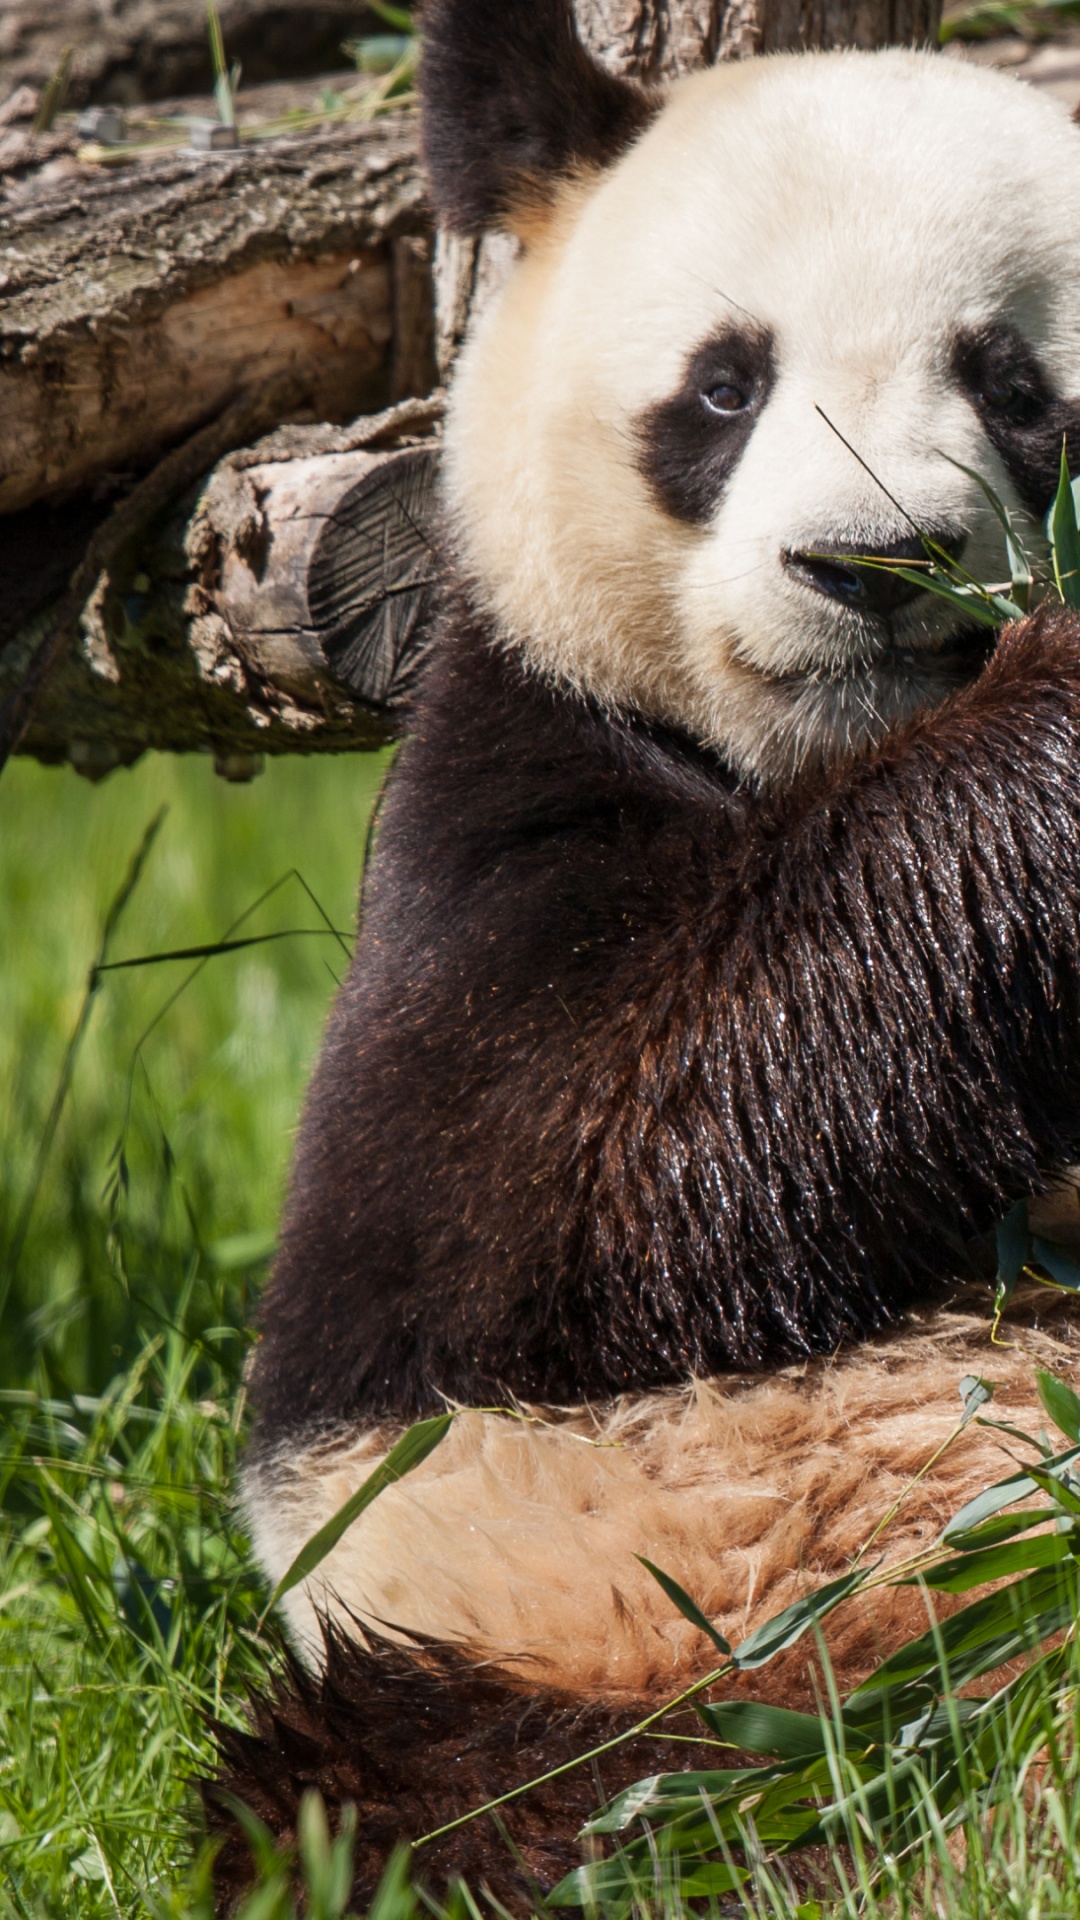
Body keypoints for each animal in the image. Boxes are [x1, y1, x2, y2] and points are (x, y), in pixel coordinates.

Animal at [213, 1, 1080, 1905]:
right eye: (723, 385)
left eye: (1017, 386)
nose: (877, 569)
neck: (821, 756)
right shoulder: (486, 842)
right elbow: (625, 1161)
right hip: (585, 1644)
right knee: (422, 1811)